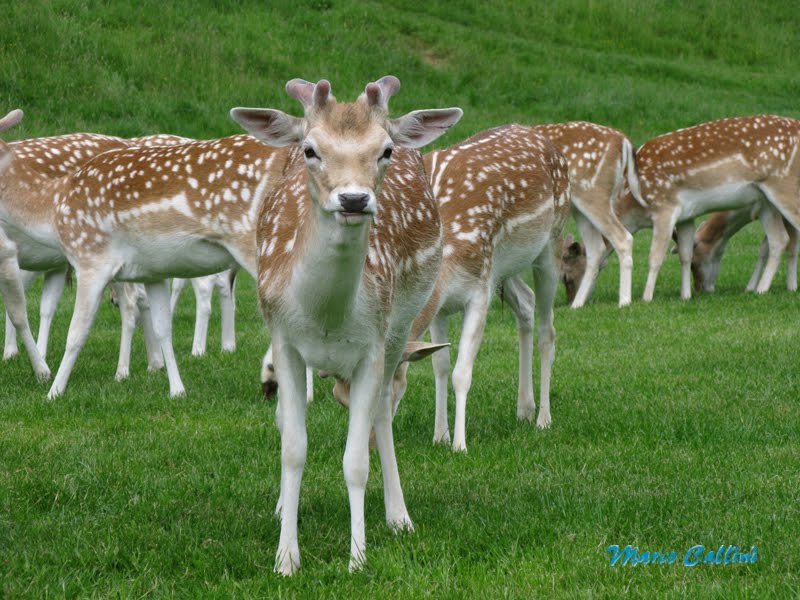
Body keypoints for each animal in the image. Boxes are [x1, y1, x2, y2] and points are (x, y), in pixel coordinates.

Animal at [228, 77, 460, 576]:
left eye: (385, 150)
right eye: (311, 150)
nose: (354, 199)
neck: (327, 317)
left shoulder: (372, 346)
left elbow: (356, 460)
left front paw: (357, 558)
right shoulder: (285, 342)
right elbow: (292, 446)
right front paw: (286, 557)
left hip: (401, 328)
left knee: (382, 414)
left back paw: (399, 516)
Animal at [532, 122, 644, 310]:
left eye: (565, 276)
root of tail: (623, 140)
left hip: (592, 192)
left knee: (623, 238)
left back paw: (624, 301)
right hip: (580, 207)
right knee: (597, 248)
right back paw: (577, 304)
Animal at [620, 113, 800, 300]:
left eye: (697, 263)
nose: (701, 288)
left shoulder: (665, 209)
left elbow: (655, 256)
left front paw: (646, 298)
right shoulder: (687, 215)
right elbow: (685, 252)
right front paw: (685, 296)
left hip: (783, 186)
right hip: (768, 201)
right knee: (780, 239)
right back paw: (761, 289)